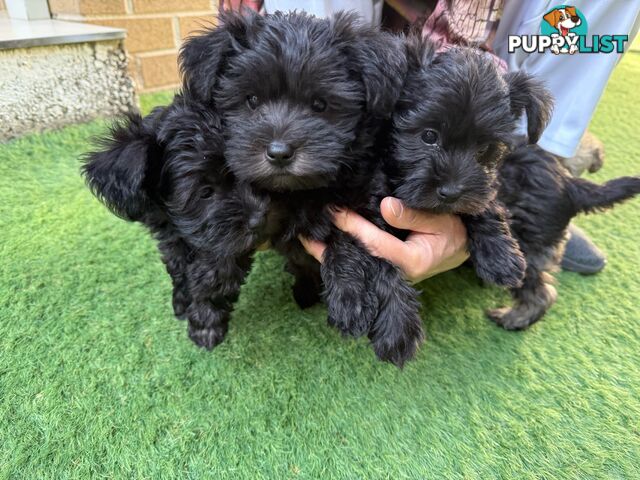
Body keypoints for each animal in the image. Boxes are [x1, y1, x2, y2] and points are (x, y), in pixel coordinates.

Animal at [82, 10, 422, 364]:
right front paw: (197, 305)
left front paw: (358, 303)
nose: (279, 152)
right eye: (252, 101)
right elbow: (193, 260)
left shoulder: (363, 198)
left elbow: (360, 241)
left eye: (320, 105)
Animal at [388, 39, 552, 288]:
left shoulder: (484, 187)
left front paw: (501, 257)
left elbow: (484, 203)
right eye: (429, 136)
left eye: (484, 148)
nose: (451, 192)